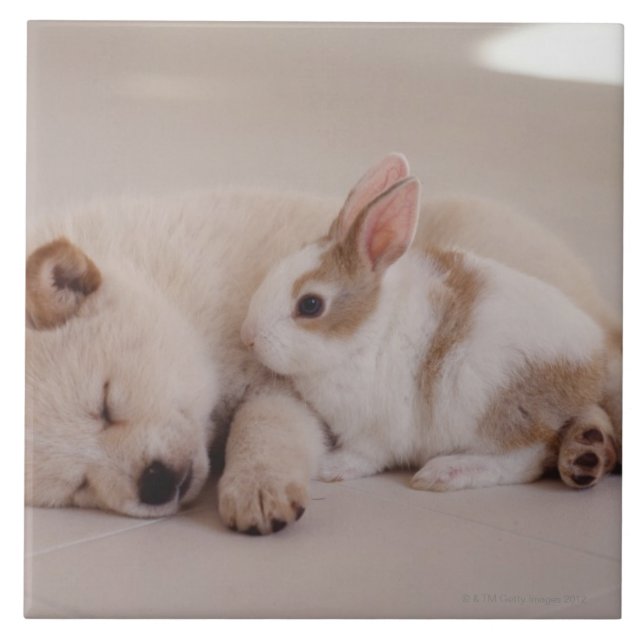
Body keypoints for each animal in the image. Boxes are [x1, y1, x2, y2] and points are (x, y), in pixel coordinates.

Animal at [241, 155, 620, 492]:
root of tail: (593, 364)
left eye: (310, 305)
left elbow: (365, 456)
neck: (367, 333)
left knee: (526, 459)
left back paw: (445, 473)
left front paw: (330, 467)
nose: (250, 337)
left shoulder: (375, 431)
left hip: (494, 408)